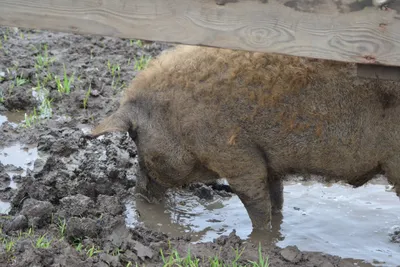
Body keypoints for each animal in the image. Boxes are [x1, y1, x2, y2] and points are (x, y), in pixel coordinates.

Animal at [87, 45, 400, 231]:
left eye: (135, 138)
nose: (138, 194)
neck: (178, 119)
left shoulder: (236, 156)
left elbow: (256, 206)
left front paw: (260, 240)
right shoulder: (268, 161)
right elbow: (277, 200)